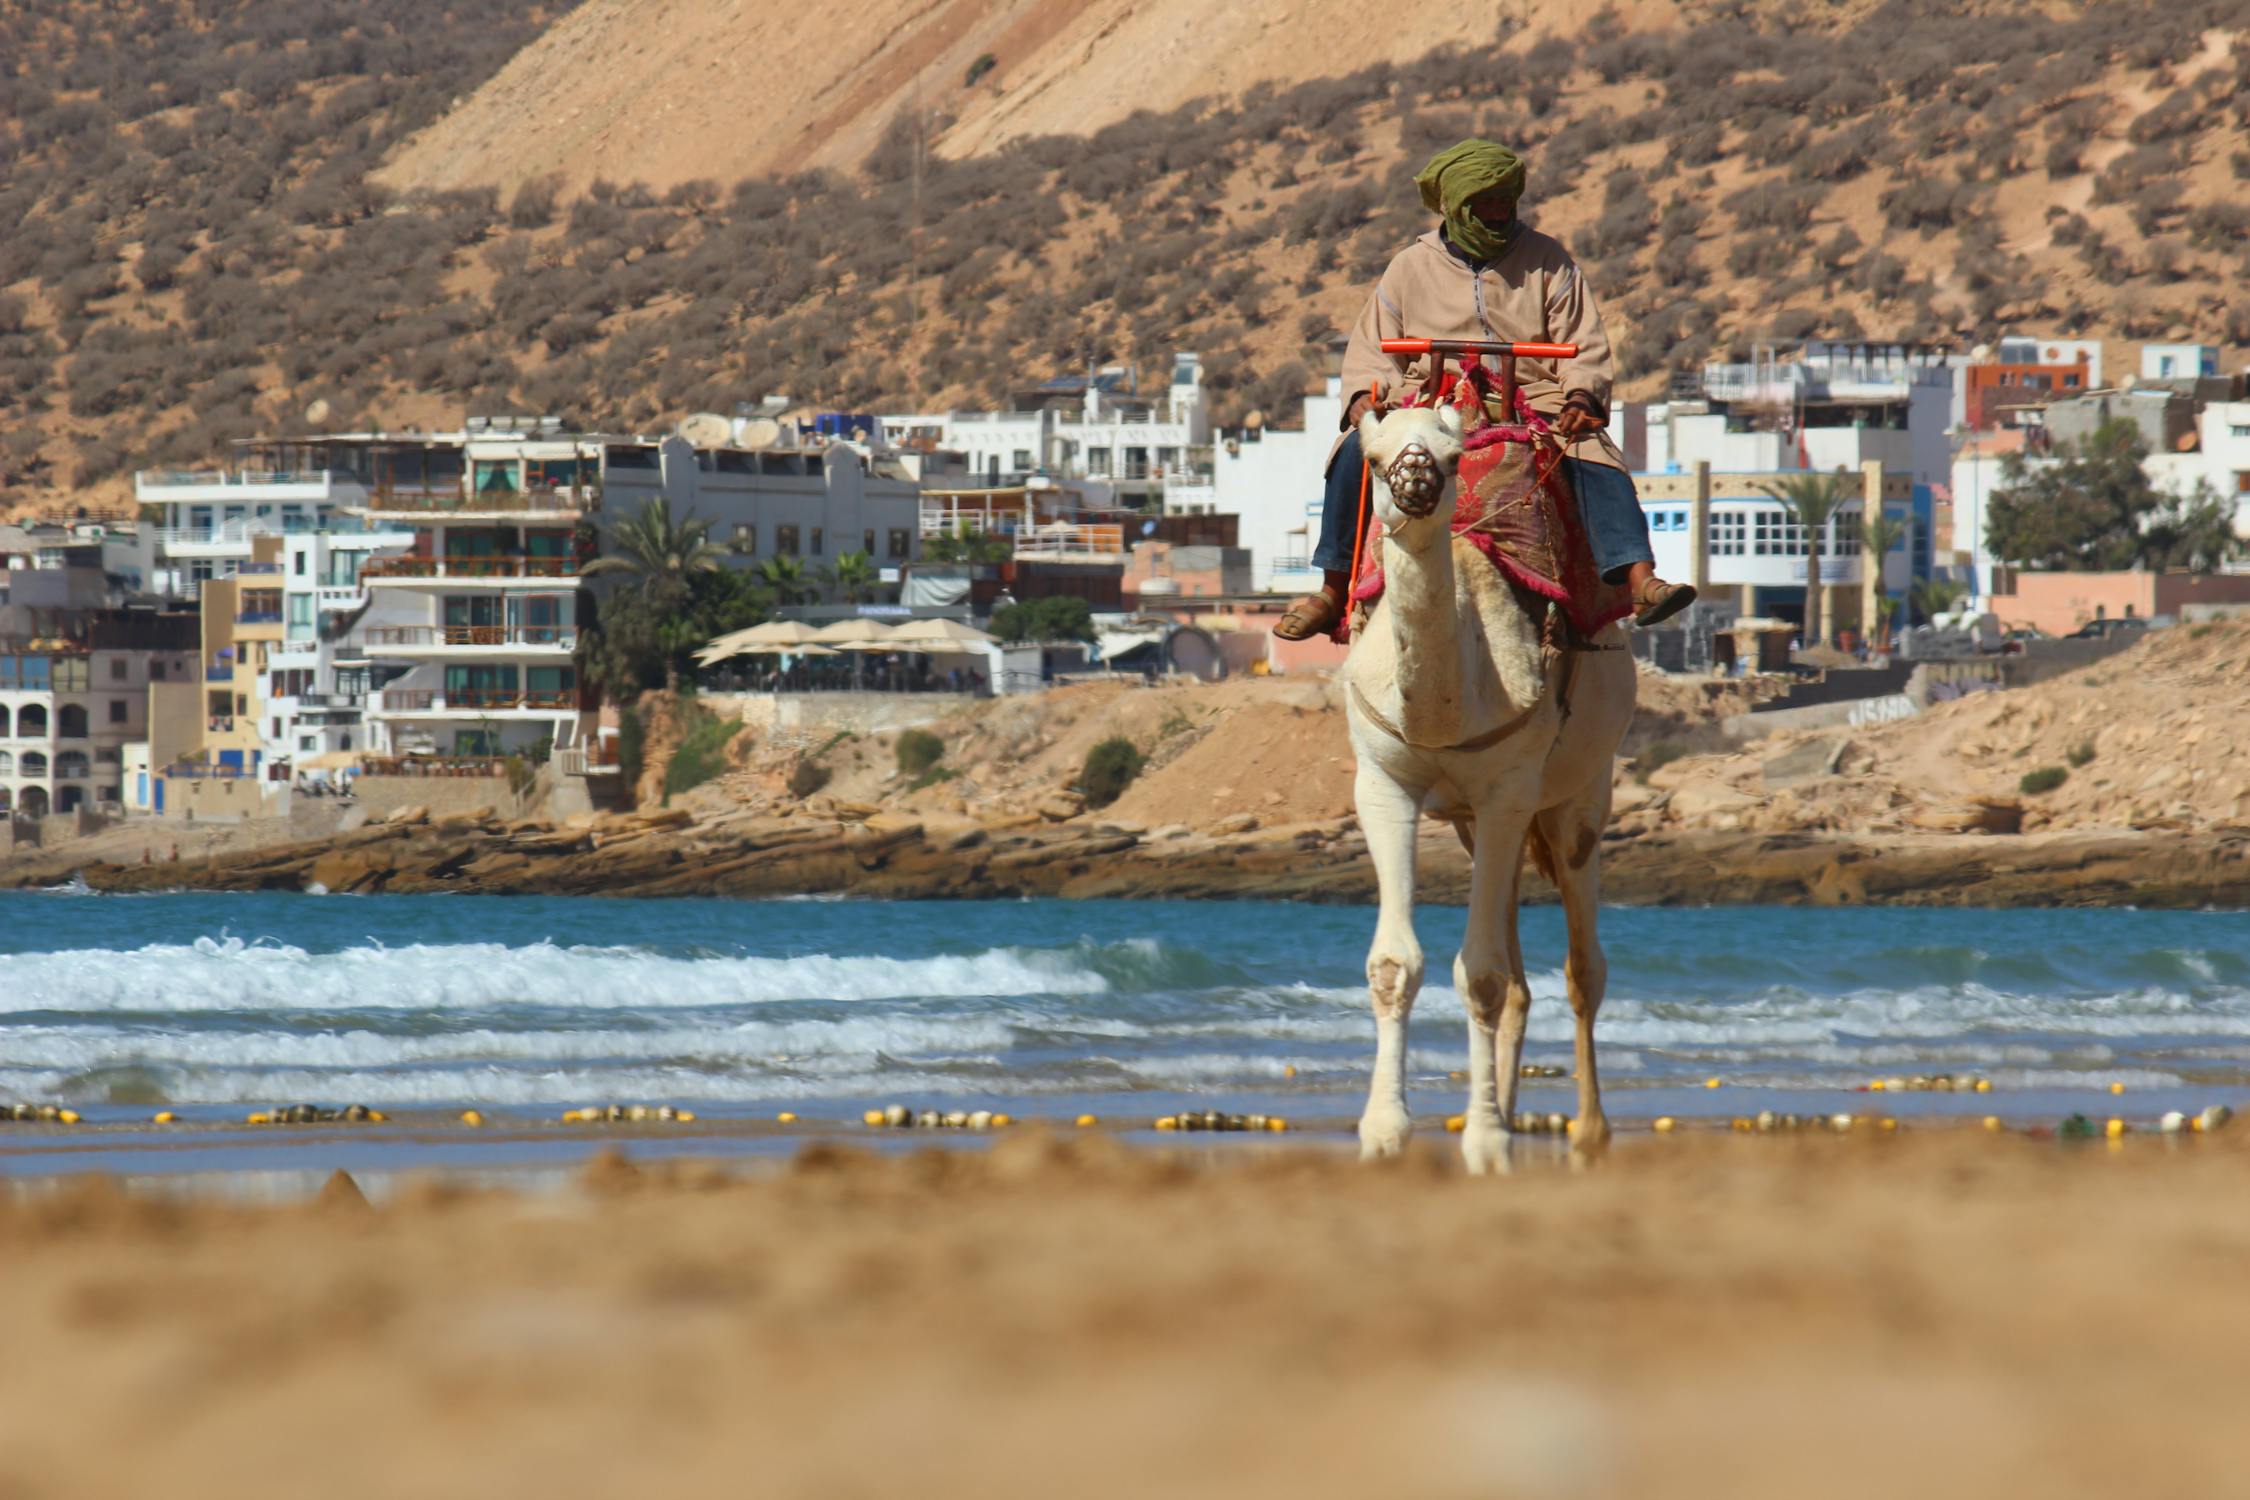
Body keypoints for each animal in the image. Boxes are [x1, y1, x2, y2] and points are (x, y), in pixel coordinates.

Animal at [1332, 404, 1638, 1178]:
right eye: (1372, 457)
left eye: (1450, 455)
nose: (1414, 480)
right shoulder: (1384, 786)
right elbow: (1397, 964)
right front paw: (1386, 1131)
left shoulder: (1508, 791)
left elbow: (1481, 977)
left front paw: (1488, 1140)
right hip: (1476, 824)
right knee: (1522, 980)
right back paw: (1506, 1108)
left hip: (1578, 799)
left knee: (1582, 968)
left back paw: (1588, 1133)